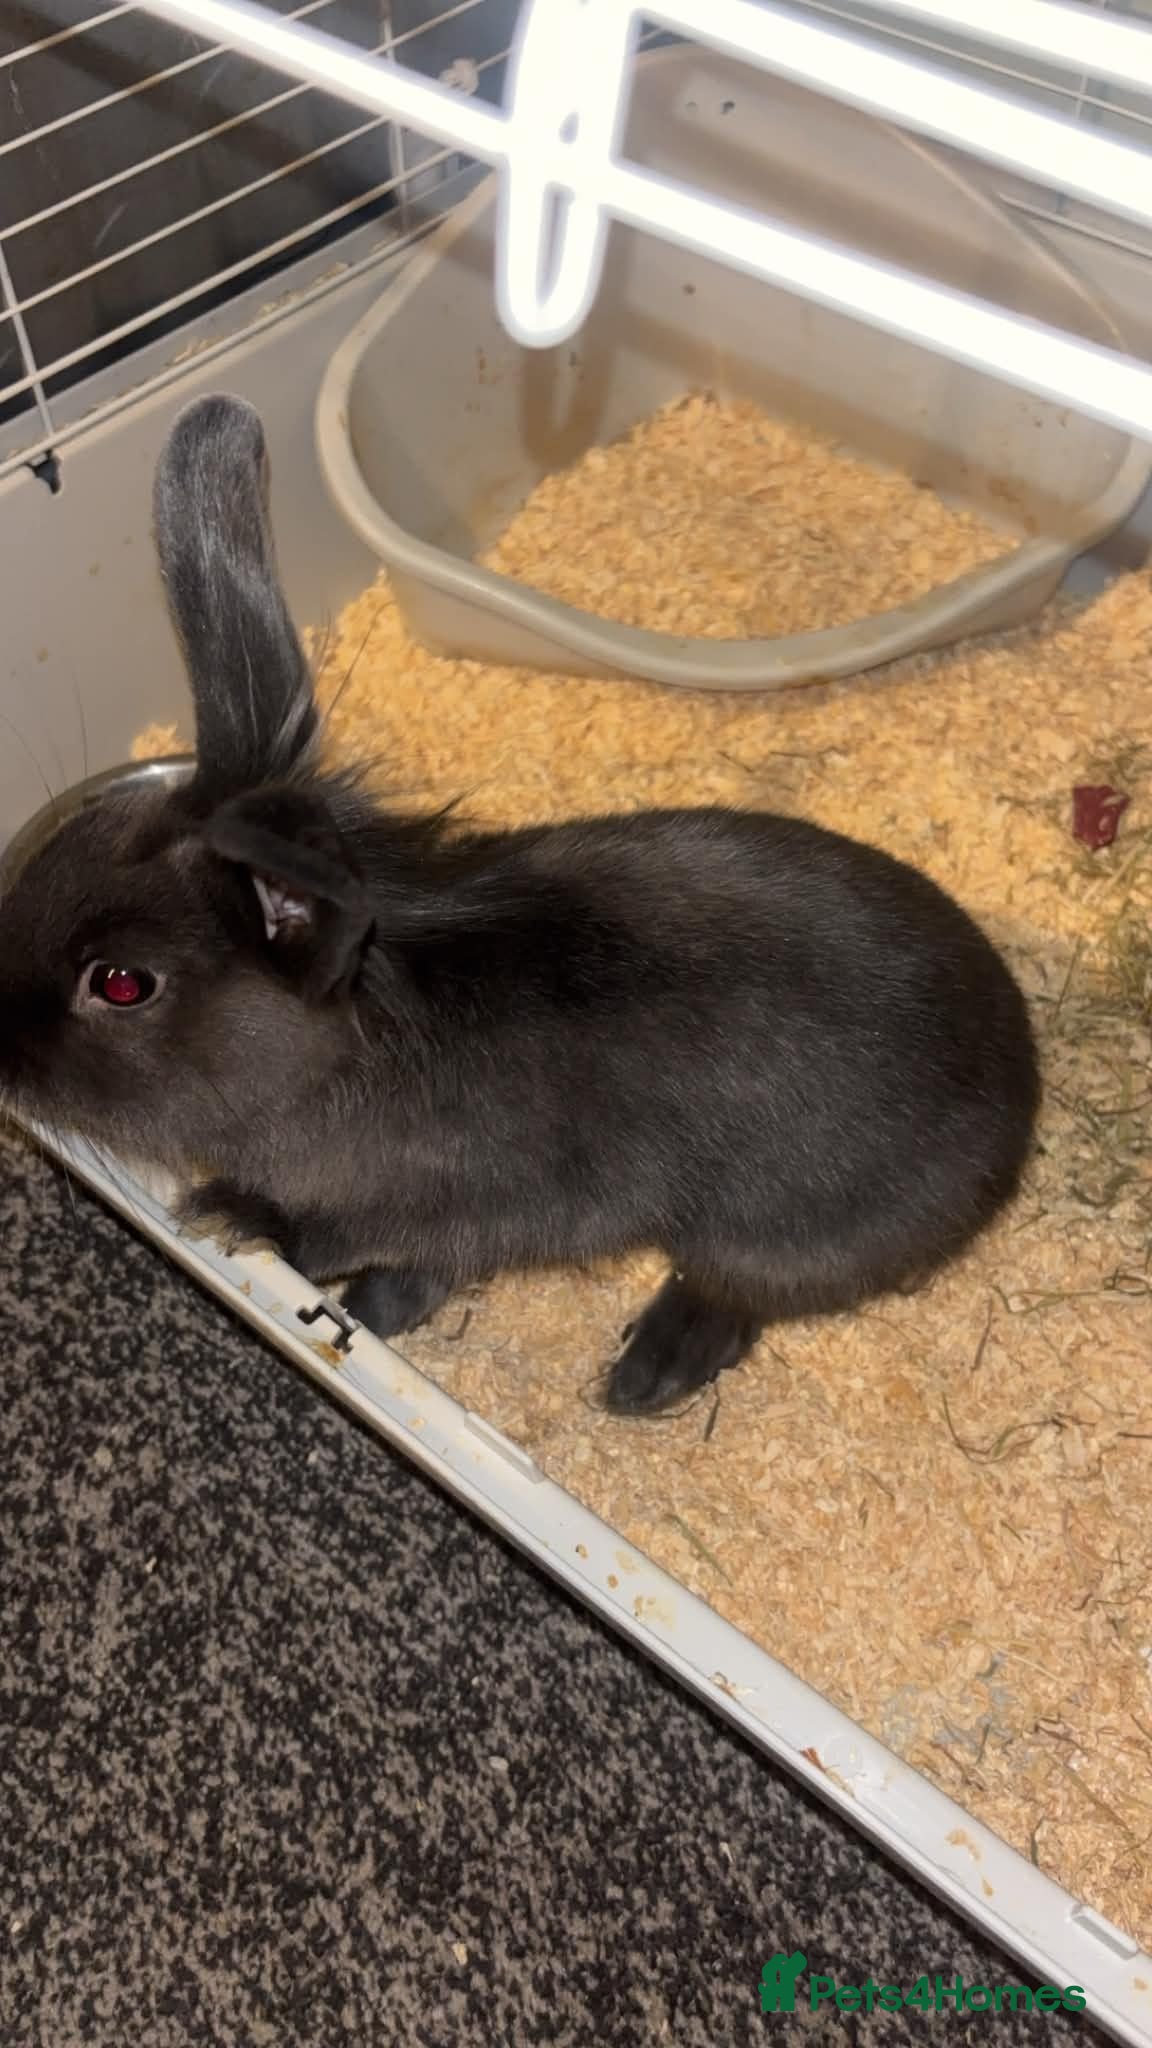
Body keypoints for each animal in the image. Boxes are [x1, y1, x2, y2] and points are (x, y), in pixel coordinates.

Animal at [0, 393, 1040, 1416]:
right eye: (68, 848)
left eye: (122, 983)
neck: (340, 1057)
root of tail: (1021, 1094)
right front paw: (367, 1309)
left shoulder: (474, 1205)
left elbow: (348, 1236)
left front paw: (237, 1218)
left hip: (765, 1234)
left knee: (735, 1299)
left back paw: (643, 1379)